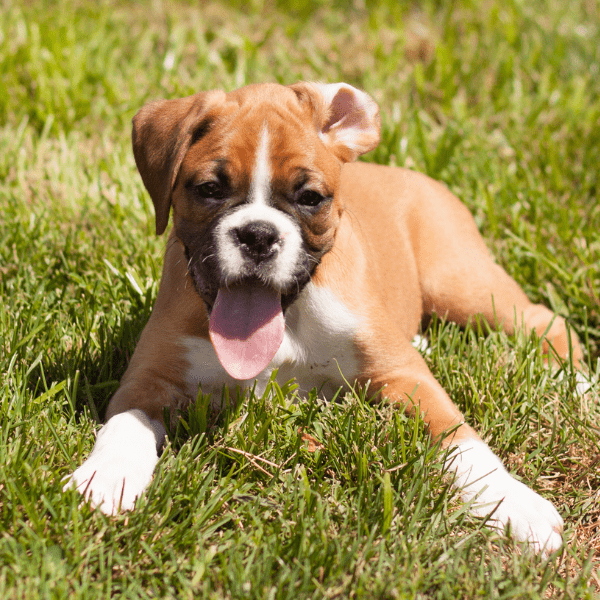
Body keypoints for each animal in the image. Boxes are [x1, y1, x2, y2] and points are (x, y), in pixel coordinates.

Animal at [65, 82, 580, 556]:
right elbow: (124, 425)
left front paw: (512, 502)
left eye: (310, 197)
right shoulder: (150, 378)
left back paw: (573, 381)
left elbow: (458, 438)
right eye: (210, 189)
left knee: (545, 319)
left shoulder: (402, 375)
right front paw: (105, 478)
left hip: (461, 282)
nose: (258, 235)